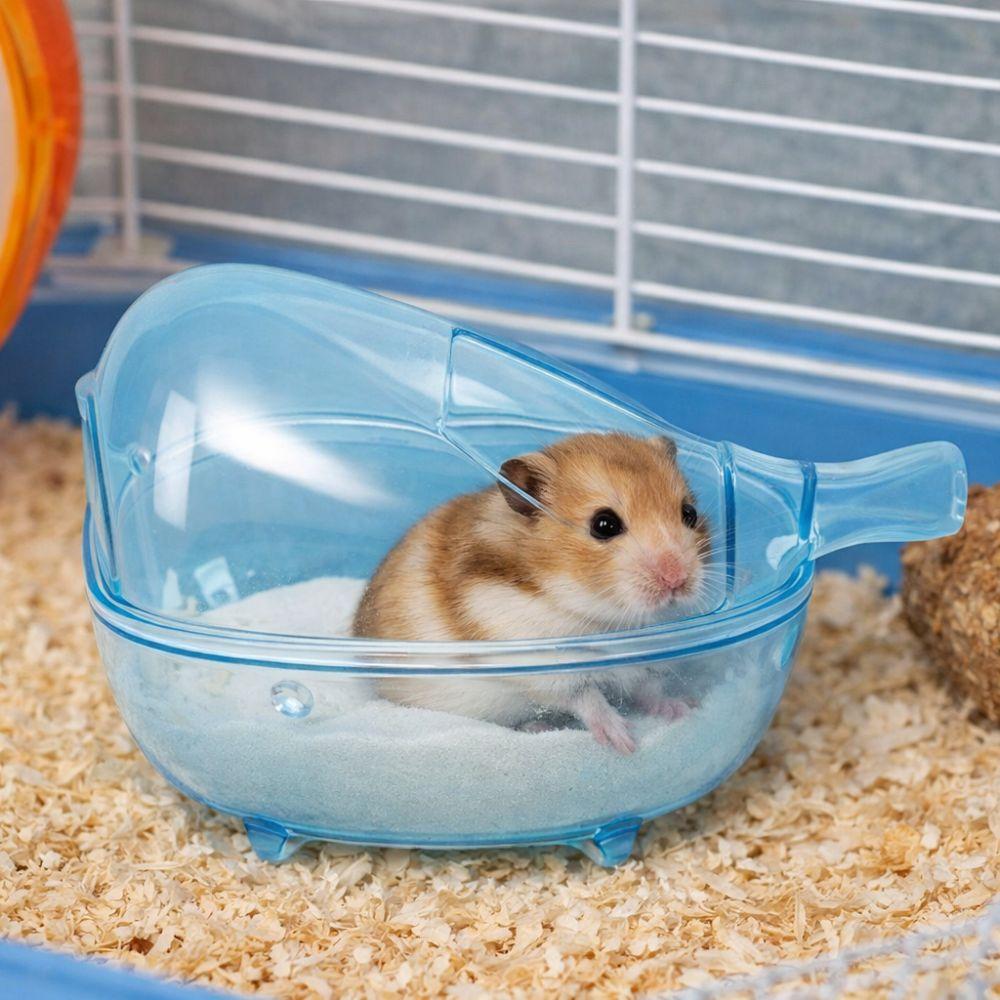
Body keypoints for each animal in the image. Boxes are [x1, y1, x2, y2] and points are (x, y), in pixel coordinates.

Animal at [352, 432, 710, 754]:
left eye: (689, 513)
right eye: (604, 525)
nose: (677, 579)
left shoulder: (648, 664)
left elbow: (650, 689)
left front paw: (685, 709)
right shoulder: (543, 664)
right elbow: (588, 698)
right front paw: (624, 741)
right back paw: (539, 726)